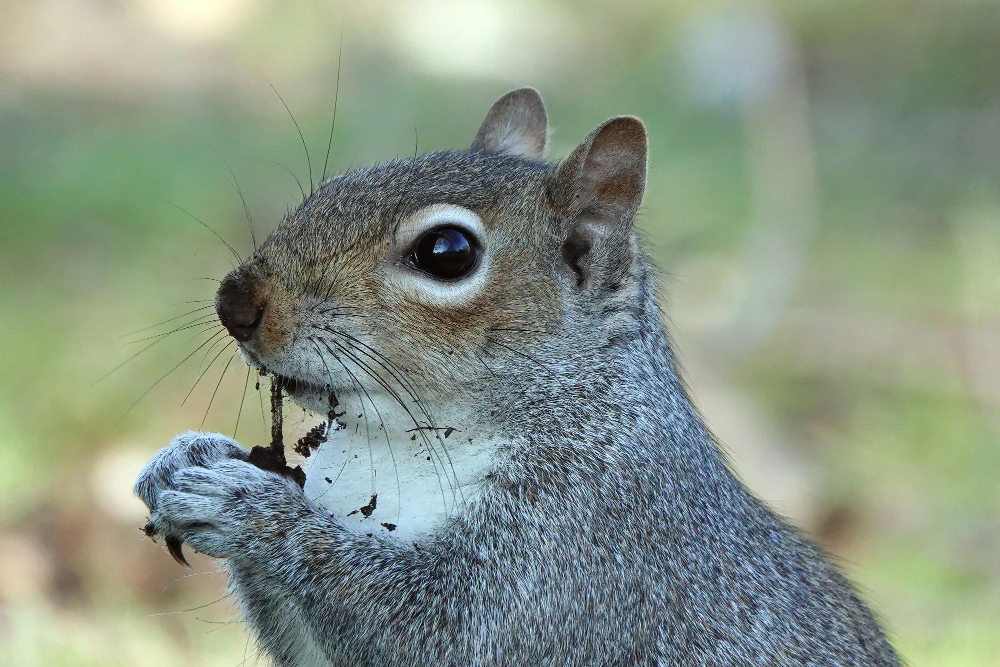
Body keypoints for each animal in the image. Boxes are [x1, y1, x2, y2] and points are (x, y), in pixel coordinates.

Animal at [134, 88, 900, 665]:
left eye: (447, 251)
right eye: (331, 188)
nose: (235, 302)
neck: (399, 441)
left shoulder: (585, 550)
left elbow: (443, 632)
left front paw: (250, 508)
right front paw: (188, 454)